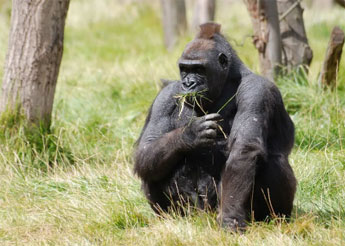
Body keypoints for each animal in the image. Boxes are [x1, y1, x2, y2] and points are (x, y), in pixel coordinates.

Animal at [134, 22, 296, 231]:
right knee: (152, 168)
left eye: (199, 69)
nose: (188, 84)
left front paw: (230, 219)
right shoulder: (165, 96)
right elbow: (146, 149)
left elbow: (244, 150)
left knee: (273, 160)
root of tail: (204, 216)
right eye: (184, 69)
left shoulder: (257, 90)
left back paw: (274, 218)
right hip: (192, 212)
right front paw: (189, 135)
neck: (228, 79)